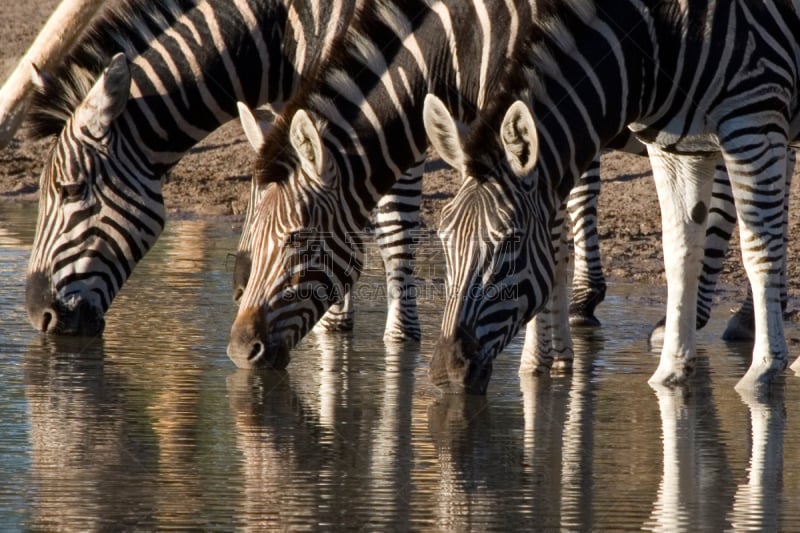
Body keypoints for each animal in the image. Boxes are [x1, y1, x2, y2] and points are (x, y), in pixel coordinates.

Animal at [21, 0, 428, 340]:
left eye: (71, 190)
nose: (40, 317)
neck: (286, 33)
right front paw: (333, 323)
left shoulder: (394, 108)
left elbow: (394, 229)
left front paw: (400, 340)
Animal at [422, 0, 796, 390]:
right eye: (443, 237)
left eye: (512, 242)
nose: (445, 372)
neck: (659, 39)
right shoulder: (679, 150)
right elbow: (679, 254)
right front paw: (671, 371)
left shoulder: (753, 117)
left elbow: (759, 249)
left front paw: (763, 372)